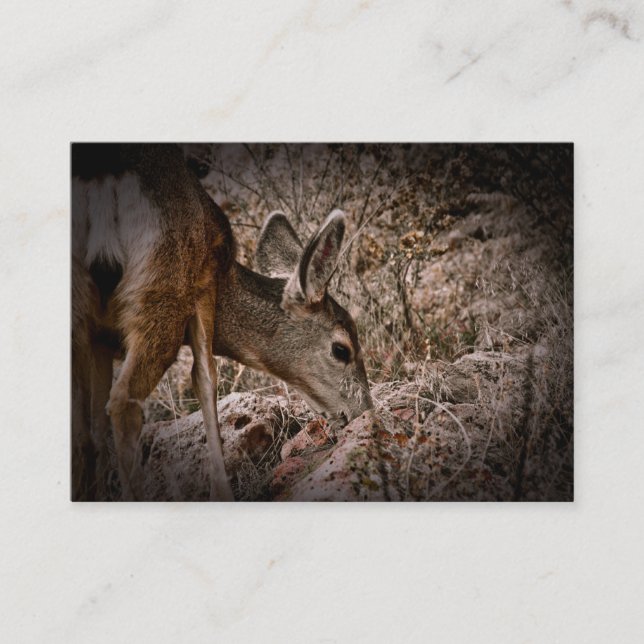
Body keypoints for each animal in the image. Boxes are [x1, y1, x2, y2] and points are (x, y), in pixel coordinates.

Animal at [71, 143, 372, 501]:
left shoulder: (101, 339)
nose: (364, 411)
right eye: (342, 350)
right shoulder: (203, 285)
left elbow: (94, 427)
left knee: (83, 430)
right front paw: (222, 489)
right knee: (123, 404)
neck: (228, 275)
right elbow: (205, 379)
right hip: (164, 291)